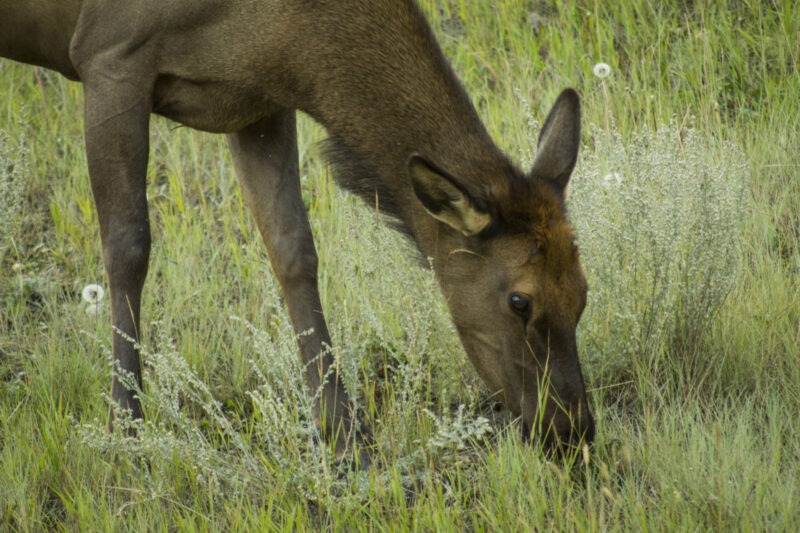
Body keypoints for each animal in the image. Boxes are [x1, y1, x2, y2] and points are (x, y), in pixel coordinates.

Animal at [1, 1, 592, 458]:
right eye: (519, 300)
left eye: (584, 293)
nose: (574, 430)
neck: (289, 45)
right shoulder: (109, 55)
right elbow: (128, 247)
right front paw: (126, 428)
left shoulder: (256, 104)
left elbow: (294, 252)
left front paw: (345, 435)